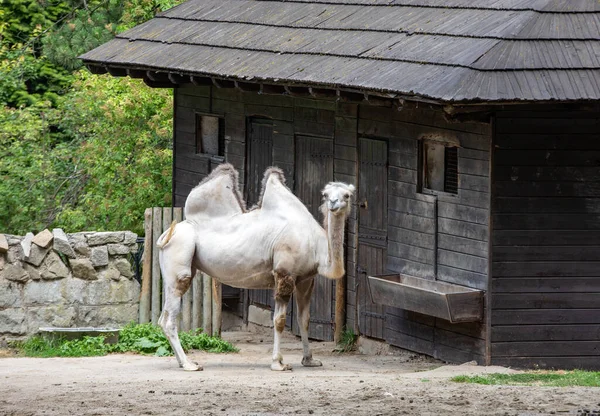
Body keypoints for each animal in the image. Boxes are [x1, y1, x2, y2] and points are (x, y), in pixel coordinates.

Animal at [157, 162, 354, 370]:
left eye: (347, 195)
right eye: (325, 194)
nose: (333, 203)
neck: (317, 247)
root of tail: (167, 233)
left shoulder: (306, 279)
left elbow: (304, 319)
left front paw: (309, 360)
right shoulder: (284, 273)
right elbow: (279, 320)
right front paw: (278, 363)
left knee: (164, 317)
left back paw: (183, 361)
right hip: (180, 257)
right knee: (169, 317)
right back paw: (189, 364)